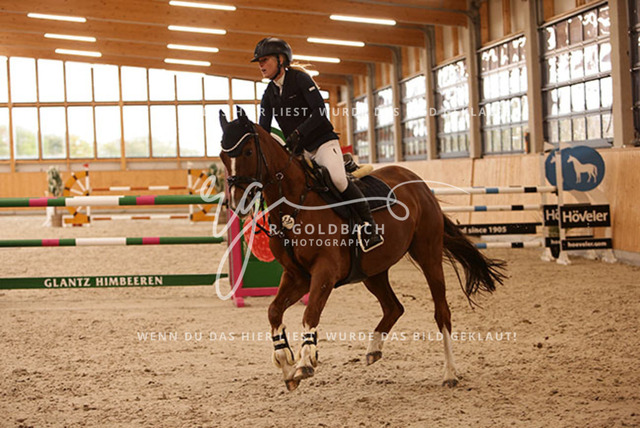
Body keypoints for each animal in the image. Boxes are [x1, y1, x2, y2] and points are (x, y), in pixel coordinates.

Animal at [219, 107, 505, 391]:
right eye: (222, 156)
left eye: (248, 152)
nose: (237, 203)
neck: (295, 206)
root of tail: (418, 182)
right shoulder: (298, 276)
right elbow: (274, 311)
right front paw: (286, 363)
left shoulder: (325, 272)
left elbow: (310, 313)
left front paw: (305, 362)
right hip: (373, 270)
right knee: (394, 307)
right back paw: (373, 349)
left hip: (428, 255)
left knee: (441, 312)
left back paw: (449, 373)